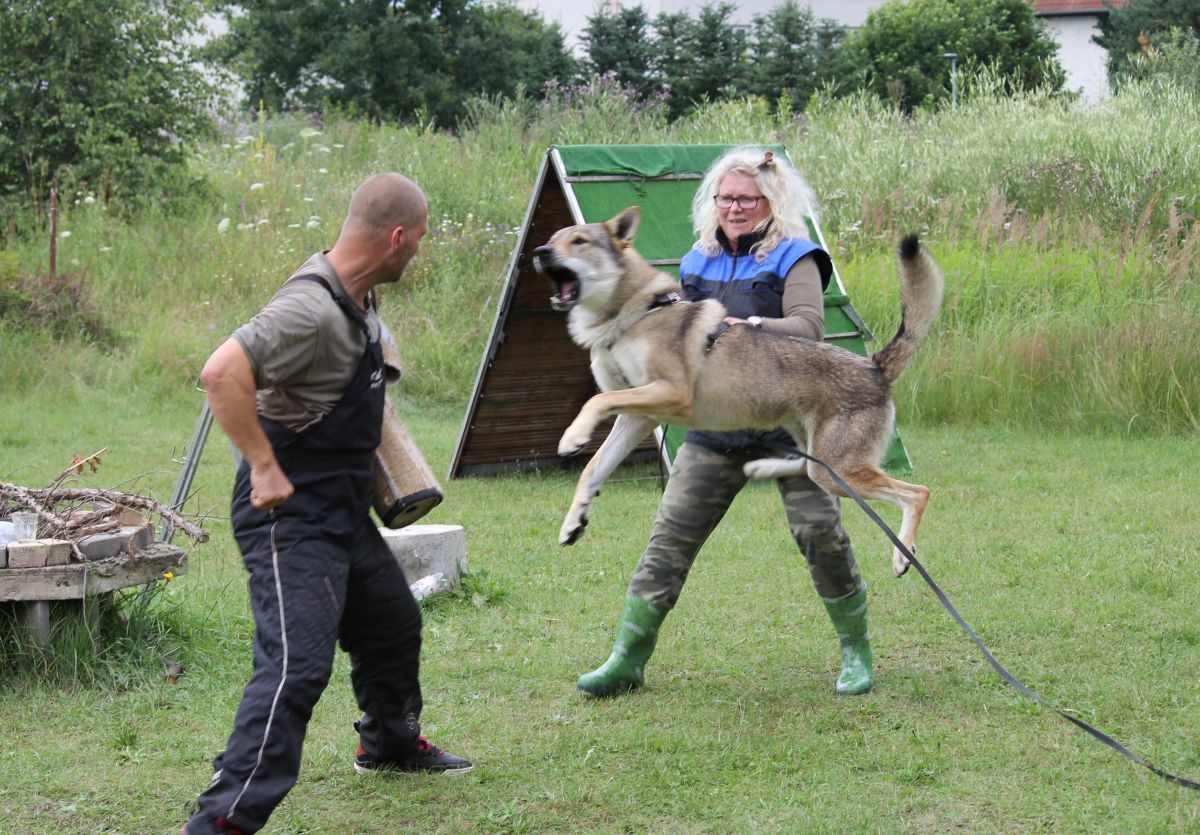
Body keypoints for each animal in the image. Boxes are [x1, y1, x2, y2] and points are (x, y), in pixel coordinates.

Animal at [537, 205, 945, 578]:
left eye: (579, 241)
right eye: (553, 239)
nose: (539, 252)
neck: (632, 317)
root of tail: (874, 366)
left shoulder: (670, 392)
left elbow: (596, 400)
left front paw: (573, 437)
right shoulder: (637, 418)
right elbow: (592, 470)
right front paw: (573, 522)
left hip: (839, 470)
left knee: (918, 493)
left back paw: (902, 554)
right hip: (818, 453)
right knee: (807, 464)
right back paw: (762, 466)